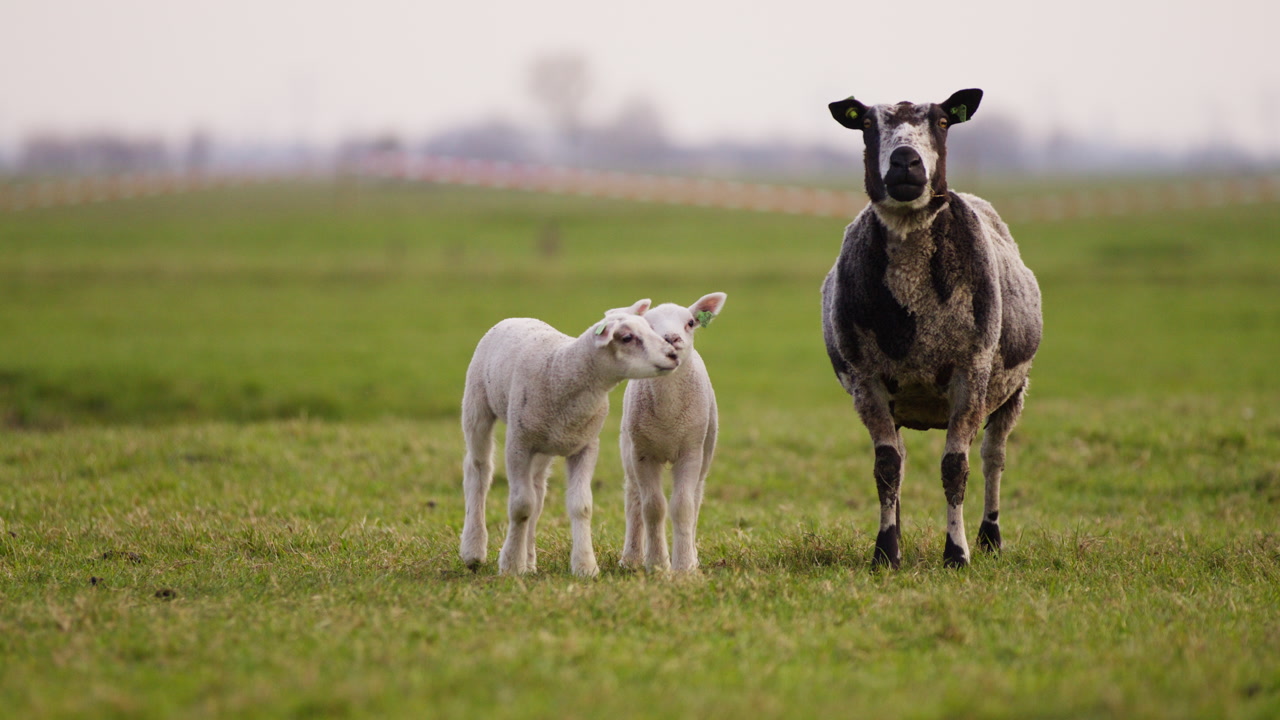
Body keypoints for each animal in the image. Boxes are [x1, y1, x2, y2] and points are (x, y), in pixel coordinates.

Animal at [459, 300, 680, 577]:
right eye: (627, 337)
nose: (673, 355)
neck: (563, 372)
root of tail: (517, 317)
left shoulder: (585, 446)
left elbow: (580, 506)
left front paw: (585, 565)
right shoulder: (518, 444)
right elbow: (521, 505)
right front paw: (510, 565)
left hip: (545, 445)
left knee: (537, 490)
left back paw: (529, 561)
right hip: (477, 404)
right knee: (478, 470)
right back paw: (473, 550)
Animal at [617, 293, 727, 573]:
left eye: (690, 322)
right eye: (647, 326)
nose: (672, 338)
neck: (668, 418)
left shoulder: (690, 451)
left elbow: (683, 506)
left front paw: (684, 566)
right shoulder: (643, 454)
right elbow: (653, 507)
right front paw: (657, 563)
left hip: (705, 448)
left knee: (696, 496)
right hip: (628, 447)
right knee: (634, 499)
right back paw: (631, 558)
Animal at [821, 89, 1042, 568]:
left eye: (942, 121)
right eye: (867, 123)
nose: (905, 161)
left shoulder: (971, 371)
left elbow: (954, 468)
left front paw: (956, 554)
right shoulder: (866, 380)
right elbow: (887, 467)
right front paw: (886, 552)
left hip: (1013, 391)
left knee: (993, 458)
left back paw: (990, 537)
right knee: (901, 459)